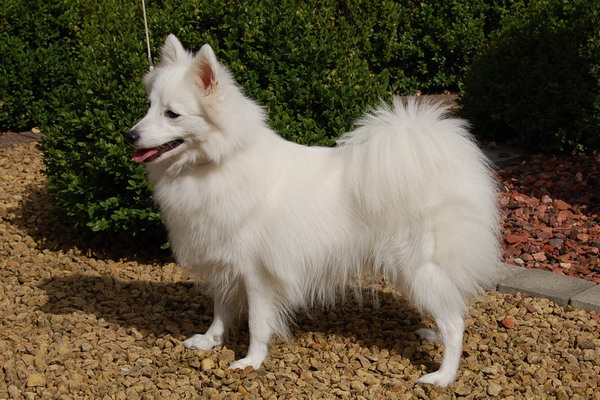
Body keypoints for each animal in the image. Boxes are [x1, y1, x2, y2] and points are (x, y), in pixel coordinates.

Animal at [126, 34, 500, 386]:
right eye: (148, 106)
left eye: (172, 114)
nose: (130, 135)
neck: (215, 162)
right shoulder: (225, 263)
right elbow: (221, 309)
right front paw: (210, 341)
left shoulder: (256, 272)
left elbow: (257, 322)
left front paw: (251, 361)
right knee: (452, 308)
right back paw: (434, 337)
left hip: (419, 268)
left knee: (455, 323)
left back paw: (443, 376)